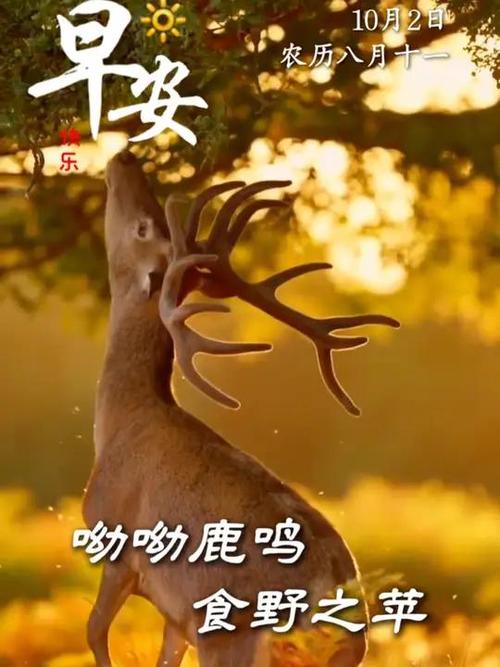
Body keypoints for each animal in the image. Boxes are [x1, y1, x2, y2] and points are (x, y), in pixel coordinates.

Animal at [83, 148, 400, 667]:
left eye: (143, 229)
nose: (126, 155)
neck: (118, 422)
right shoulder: (176, 615)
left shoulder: (115, 541)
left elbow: (94, 633)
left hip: (232, 633)